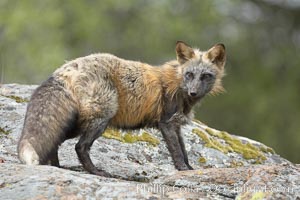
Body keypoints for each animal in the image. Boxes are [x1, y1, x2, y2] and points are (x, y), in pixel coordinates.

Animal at [17, 41, 226, 176]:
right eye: (189, 75)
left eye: (205, 76)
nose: (193, 92)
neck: (177, 83)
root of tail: (68, 67)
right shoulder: (166, 123)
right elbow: (176, 151)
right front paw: (182, 169)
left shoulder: (176, 126)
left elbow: (184, 150)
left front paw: (190, 170)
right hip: (100, 119)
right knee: (79, 147)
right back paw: (96, 171)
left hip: (77, 122)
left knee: (55, 141)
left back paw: (57, 167)